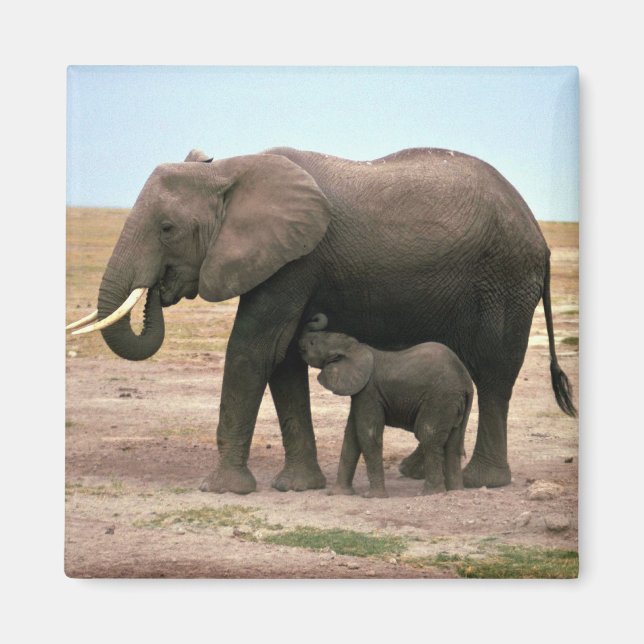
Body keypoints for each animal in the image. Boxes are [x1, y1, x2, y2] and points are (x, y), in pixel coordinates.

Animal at [298, 315, 473, 497]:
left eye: (312, 343)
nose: (315, 316)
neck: (356, 348)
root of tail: (467, 383)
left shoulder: (369, 392)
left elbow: (368, 435)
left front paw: (372, 497)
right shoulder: (360, 392)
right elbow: (351, 436)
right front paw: (338, 494)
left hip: (440, 399)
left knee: (428, 437)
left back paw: (430, 494)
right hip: (453, 403)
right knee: (453, 444)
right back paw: (456, 491)